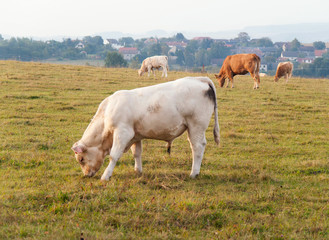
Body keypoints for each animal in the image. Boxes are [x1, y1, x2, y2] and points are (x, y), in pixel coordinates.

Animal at [72, 77, 220, 180]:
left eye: (81, 159)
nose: (86, 175)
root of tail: (199, 79)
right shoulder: (135, 136)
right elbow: (137, 153)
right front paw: (138, 171)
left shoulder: (123, 132)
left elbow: (114, 155)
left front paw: (106, 176)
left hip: (196, 127)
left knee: (197, 148)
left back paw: (194, 173)